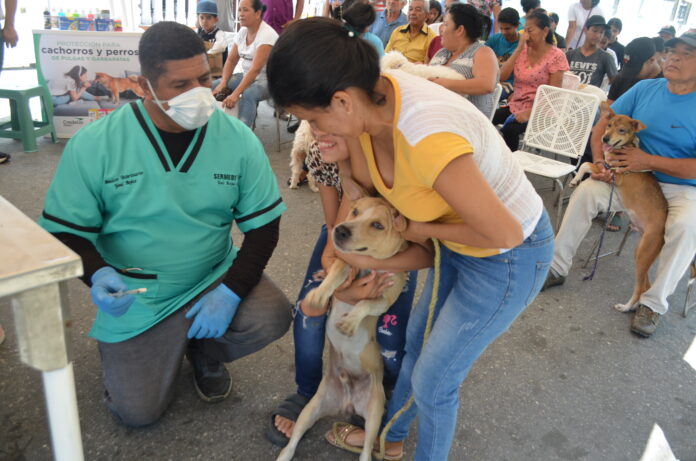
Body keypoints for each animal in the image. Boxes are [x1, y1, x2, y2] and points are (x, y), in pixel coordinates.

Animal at [276, 180, 408, 460]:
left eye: (378, 225)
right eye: (355, 211)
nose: (341, 229)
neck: (371, 264)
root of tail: (348, 403)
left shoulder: (385, 296)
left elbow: (365, 303)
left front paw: (350, 321)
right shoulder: (347, 262)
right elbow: (336, 273)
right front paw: (318, 294)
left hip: (374, 414)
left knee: (367, 449)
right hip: (311, 409)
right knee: (293, 440)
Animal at [572, 103, 668, 312]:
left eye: (622, 130)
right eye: (608, 125)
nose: (605, 139)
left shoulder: (611, 173)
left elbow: (586, 164)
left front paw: (575, 179)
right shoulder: (605, 169)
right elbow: (587, 164)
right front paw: (575, 179)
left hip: (643, 255)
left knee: (640, 288)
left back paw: (626, 307)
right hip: (640, 252)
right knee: (645, 285)